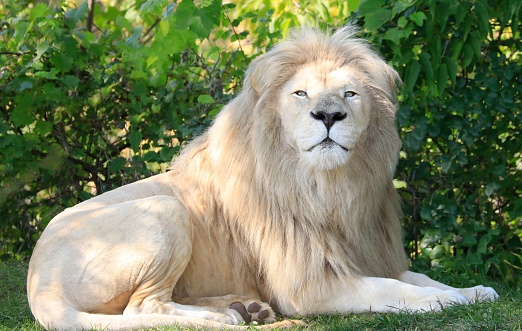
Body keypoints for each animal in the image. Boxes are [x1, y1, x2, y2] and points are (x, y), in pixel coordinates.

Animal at [27, 26, 496, 331]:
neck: (330, 190)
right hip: (164, 209)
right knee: (141, 309)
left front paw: (474, 291)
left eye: (350, 94)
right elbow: (390, 291)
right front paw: (445, 299)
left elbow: (415, 278)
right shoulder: (309, 287)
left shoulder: (369, 255)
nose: (329, 115)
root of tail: (39, 284)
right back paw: (222, 316)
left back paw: (246, 306)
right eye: (301, 94)